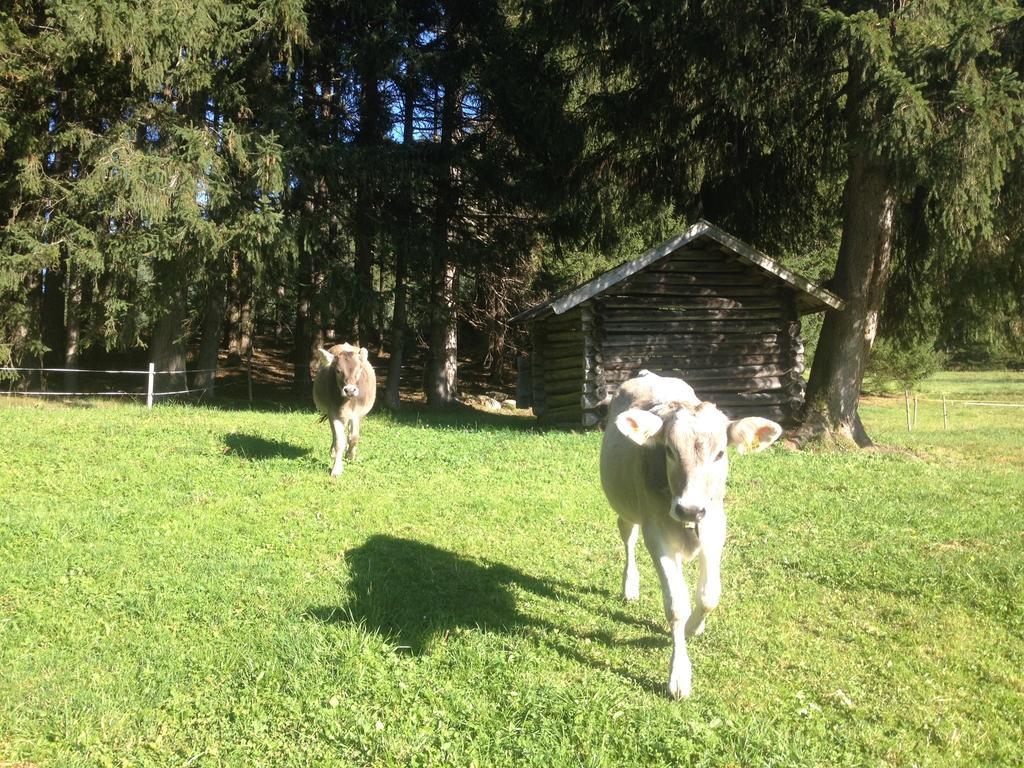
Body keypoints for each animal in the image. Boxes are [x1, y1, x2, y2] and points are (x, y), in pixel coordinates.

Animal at [313, 342, 378, 475]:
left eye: (359, 370)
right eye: (338, 371)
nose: (350, 390)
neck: (346, 403)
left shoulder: (358, 414)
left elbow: (354, 438)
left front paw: (350, 455)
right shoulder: (333, 412)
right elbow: (339, 441)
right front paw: (336, 469)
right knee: (336, 434)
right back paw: (333, 452)